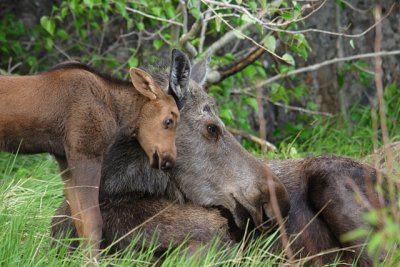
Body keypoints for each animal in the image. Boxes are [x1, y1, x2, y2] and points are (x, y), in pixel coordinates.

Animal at [0, 50, 189, 258]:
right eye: (169, 121)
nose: (169, 160)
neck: (117, 112)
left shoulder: (64, 159)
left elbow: (79, 222)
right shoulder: (87, 154)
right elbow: (93, 223)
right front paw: (91, 260)